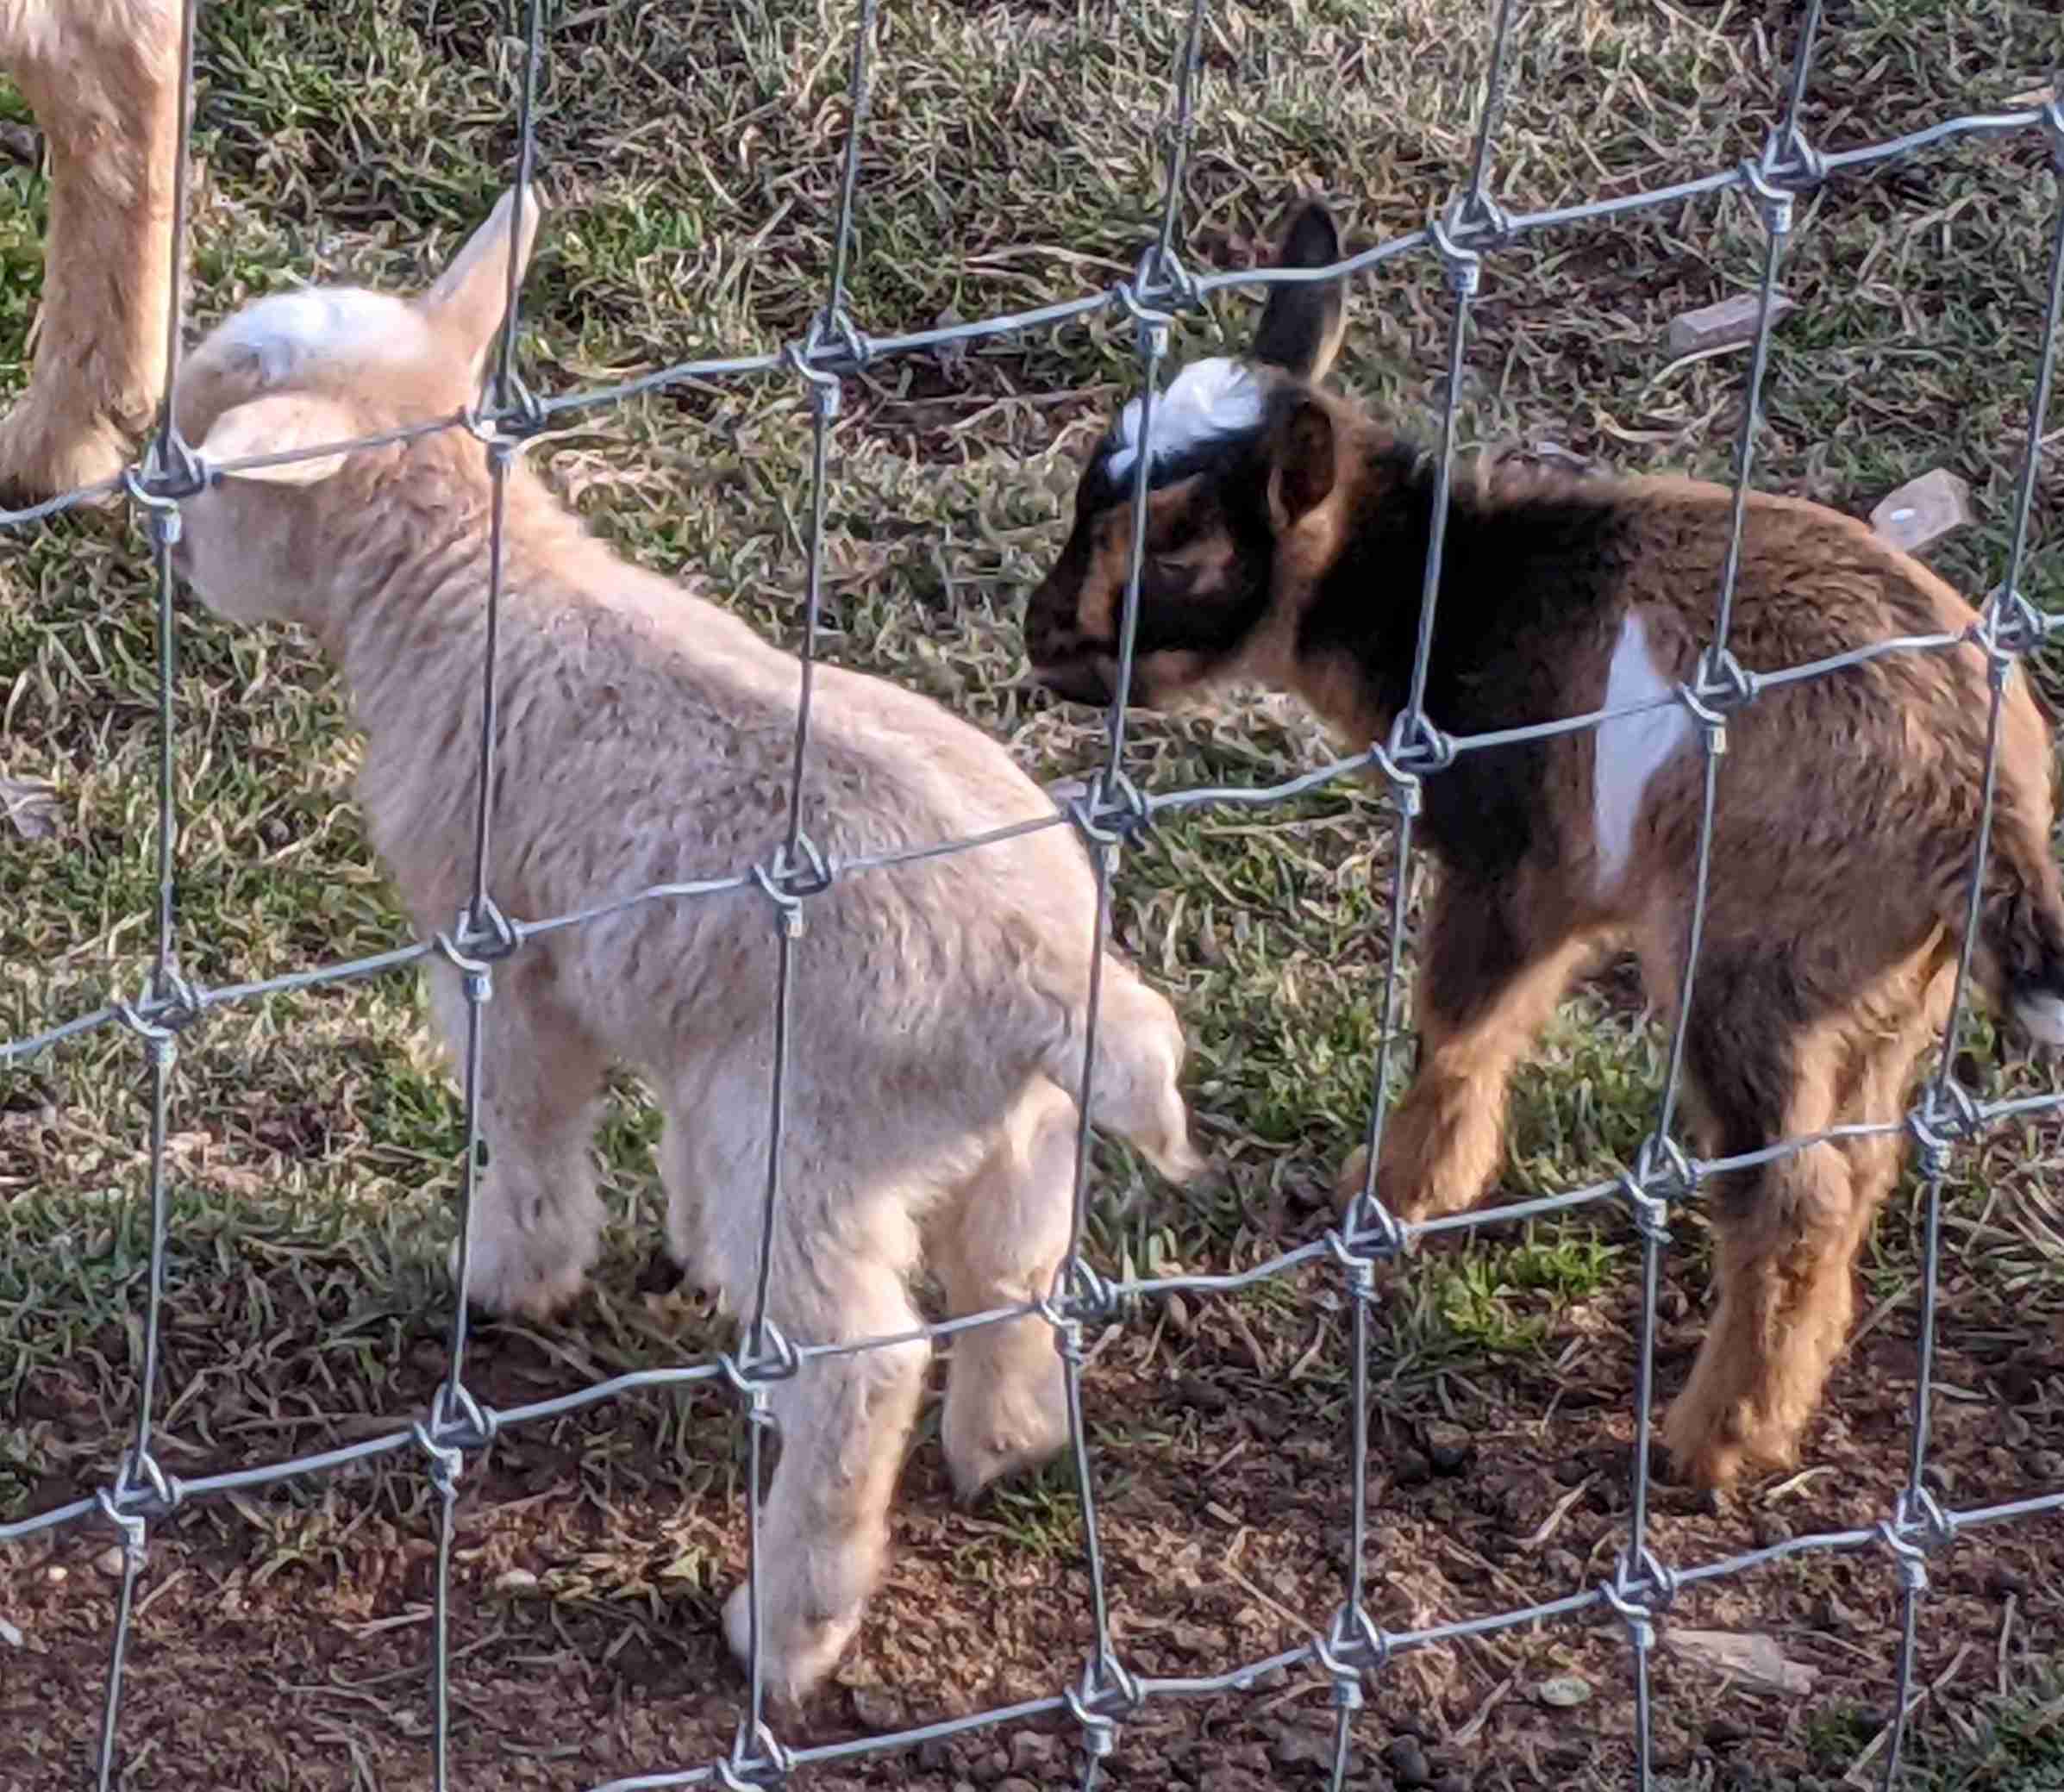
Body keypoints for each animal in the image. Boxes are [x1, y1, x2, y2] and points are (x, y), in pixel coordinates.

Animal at [166, 188, 1200, 1705]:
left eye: (215, 464)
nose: (164, 537)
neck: (465, 593)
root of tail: (1045, 984)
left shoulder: (497, 943)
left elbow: (528, 1117)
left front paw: (512, 1274)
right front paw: (690, 1251)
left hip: (813, 1117)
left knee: (867, 1361)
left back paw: (788, 1624)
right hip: (1012, 1127)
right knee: (1011, 1272)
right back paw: (1003, 1445)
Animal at [1023, 193, 2064, 1493]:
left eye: (1173, 544)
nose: (1042, 637)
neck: (1443, 596)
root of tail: (1981, 802)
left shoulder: (1511, 858)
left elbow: (1460, 1028)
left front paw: (1394, 1196)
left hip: (1746, 961)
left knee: (1791, 1194)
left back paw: (1713, 1439)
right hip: (1882, 979)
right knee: (1859, 1157)